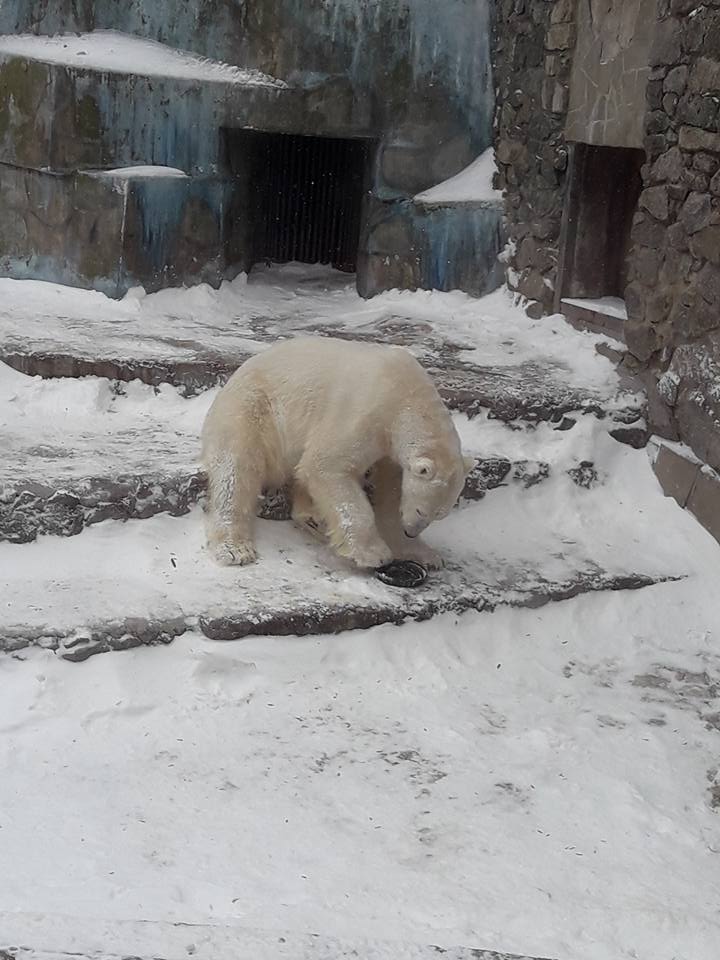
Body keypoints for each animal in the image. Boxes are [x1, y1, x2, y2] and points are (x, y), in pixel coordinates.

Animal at [201, 338, 472, 568]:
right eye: (421, 512)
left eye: (439, 515)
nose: (412, 530)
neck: (407, 396)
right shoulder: (366, 412)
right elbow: (326, 466)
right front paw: (373, 554)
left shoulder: (391, 448)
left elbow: (392, 491)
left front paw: (424, 554)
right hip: (253, 409)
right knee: (238, 470)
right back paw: (234, 549)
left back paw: (314, 521)